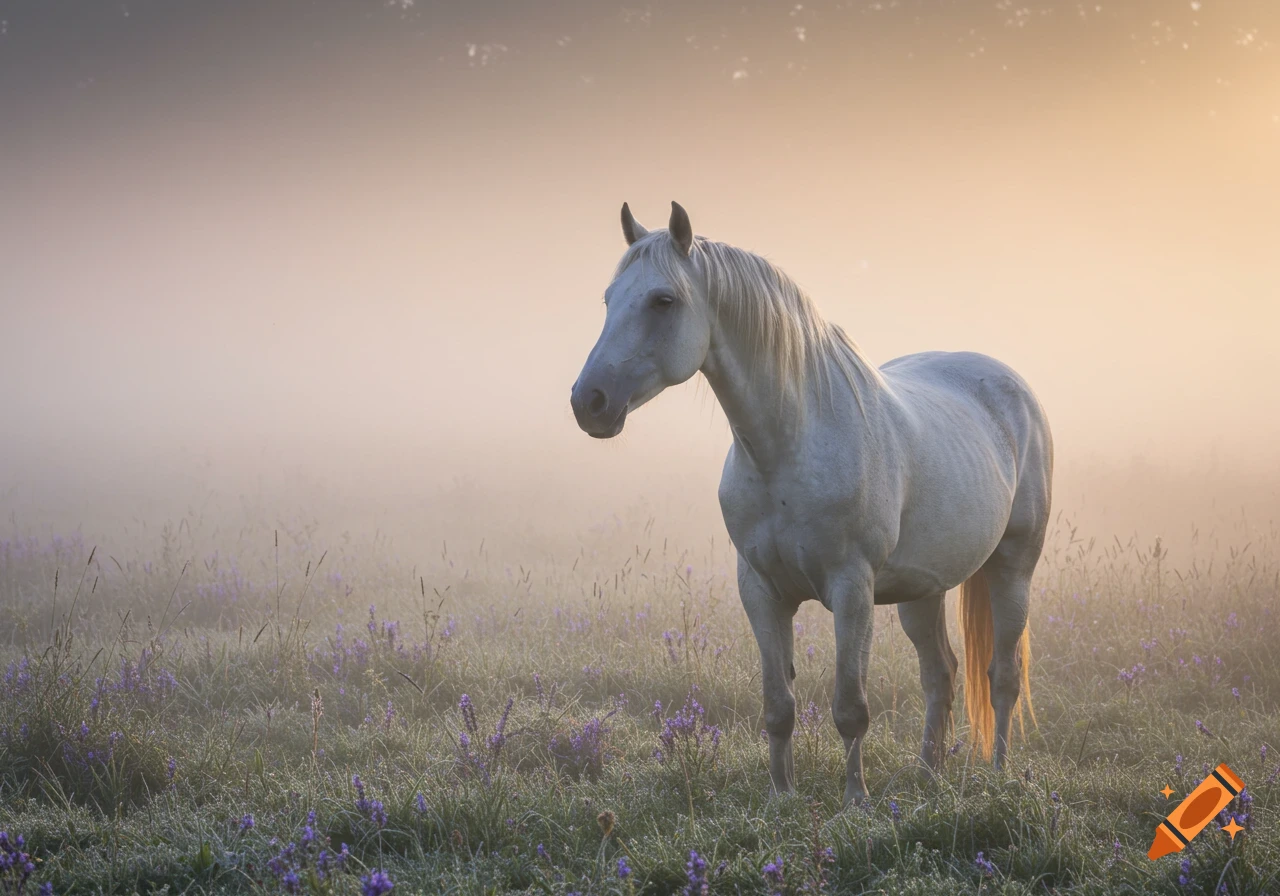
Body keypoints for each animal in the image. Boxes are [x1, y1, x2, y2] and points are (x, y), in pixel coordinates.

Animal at [570, 201, 1052, 806]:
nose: (589, 402)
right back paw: (927, 776)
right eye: (609, 299)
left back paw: (999, 776)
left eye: (663, 300)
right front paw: (782, 797)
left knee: (1002, 676)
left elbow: (851, 708)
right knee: (940, 674)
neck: (789, 446)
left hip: (1014, 567)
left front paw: (855, 803)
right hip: (924, 588)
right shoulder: (760, 591)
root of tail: (1014, 388)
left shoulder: (851, 589)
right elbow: (778, 706)